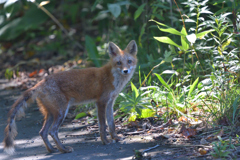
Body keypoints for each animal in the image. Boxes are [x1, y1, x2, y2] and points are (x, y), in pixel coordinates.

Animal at [3, 39, 137, 154]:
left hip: (51, 113)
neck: (112, 78)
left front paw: (116, 138)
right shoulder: (101, 102)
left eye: (129, 61)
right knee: (52, 131)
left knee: (43, 132)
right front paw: (106, 141)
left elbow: (111, 124)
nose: (125, 71)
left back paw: (52, 149)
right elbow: (103, 125)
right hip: (61, 112)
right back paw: (64, 150)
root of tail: (40, 83)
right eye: (118, 63)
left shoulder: (110, 102)